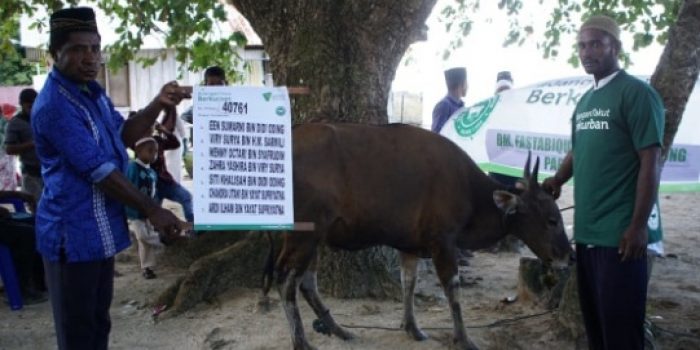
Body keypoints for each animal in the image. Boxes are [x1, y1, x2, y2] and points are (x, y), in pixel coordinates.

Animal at [266, 123, 572, 350]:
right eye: (552, 220)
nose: (568, 256)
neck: (469, 192)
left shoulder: (410, 245)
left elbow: (408, 283)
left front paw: (412, 328)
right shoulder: (443, 242)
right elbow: (452, 288)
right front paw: (463, 338)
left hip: (315, 238)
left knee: (306, 282)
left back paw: (339, 330)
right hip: (304, 233)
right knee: (285, 279)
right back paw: (301, 341)